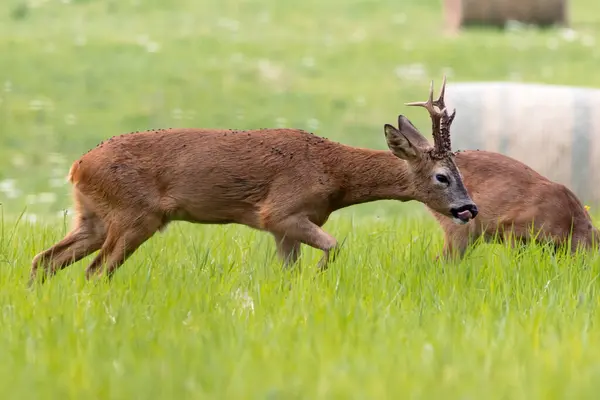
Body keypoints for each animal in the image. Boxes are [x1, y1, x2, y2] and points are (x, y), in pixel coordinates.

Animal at [28, 77, 478, 284]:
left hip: (93, 217)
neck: (333, 173)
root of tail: (77, 166)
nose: (468, 208)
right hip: (134, 215)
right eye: (442, 176)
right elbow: (333, 247)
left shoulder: (284, 228)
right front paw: (319, 278)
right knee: (95, 271)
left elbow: (289, 271)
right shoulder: (279, 212)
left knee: (44, 259)